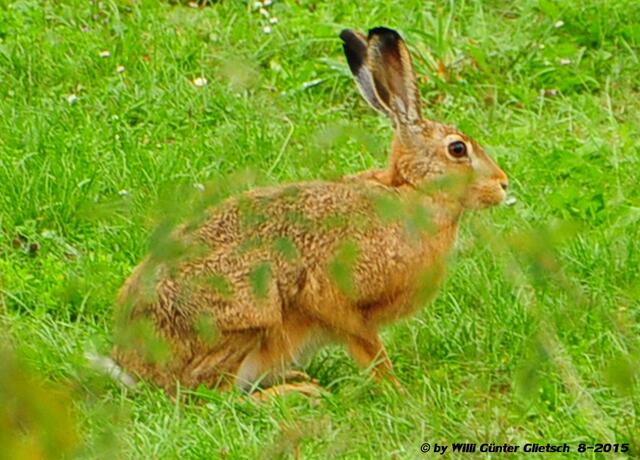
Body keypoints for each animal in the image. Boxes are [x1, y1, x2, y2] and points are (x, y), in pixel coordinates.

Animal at [110, 26, 509, 397]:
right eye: (457, 149)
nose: (503, 184)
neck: (412, 191)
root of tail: (134, 366)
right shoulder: (336, 295)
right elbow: (367, 345)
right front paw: (395, 389)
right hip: (248, 317)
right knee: (210, 393)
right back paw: (297, 392)